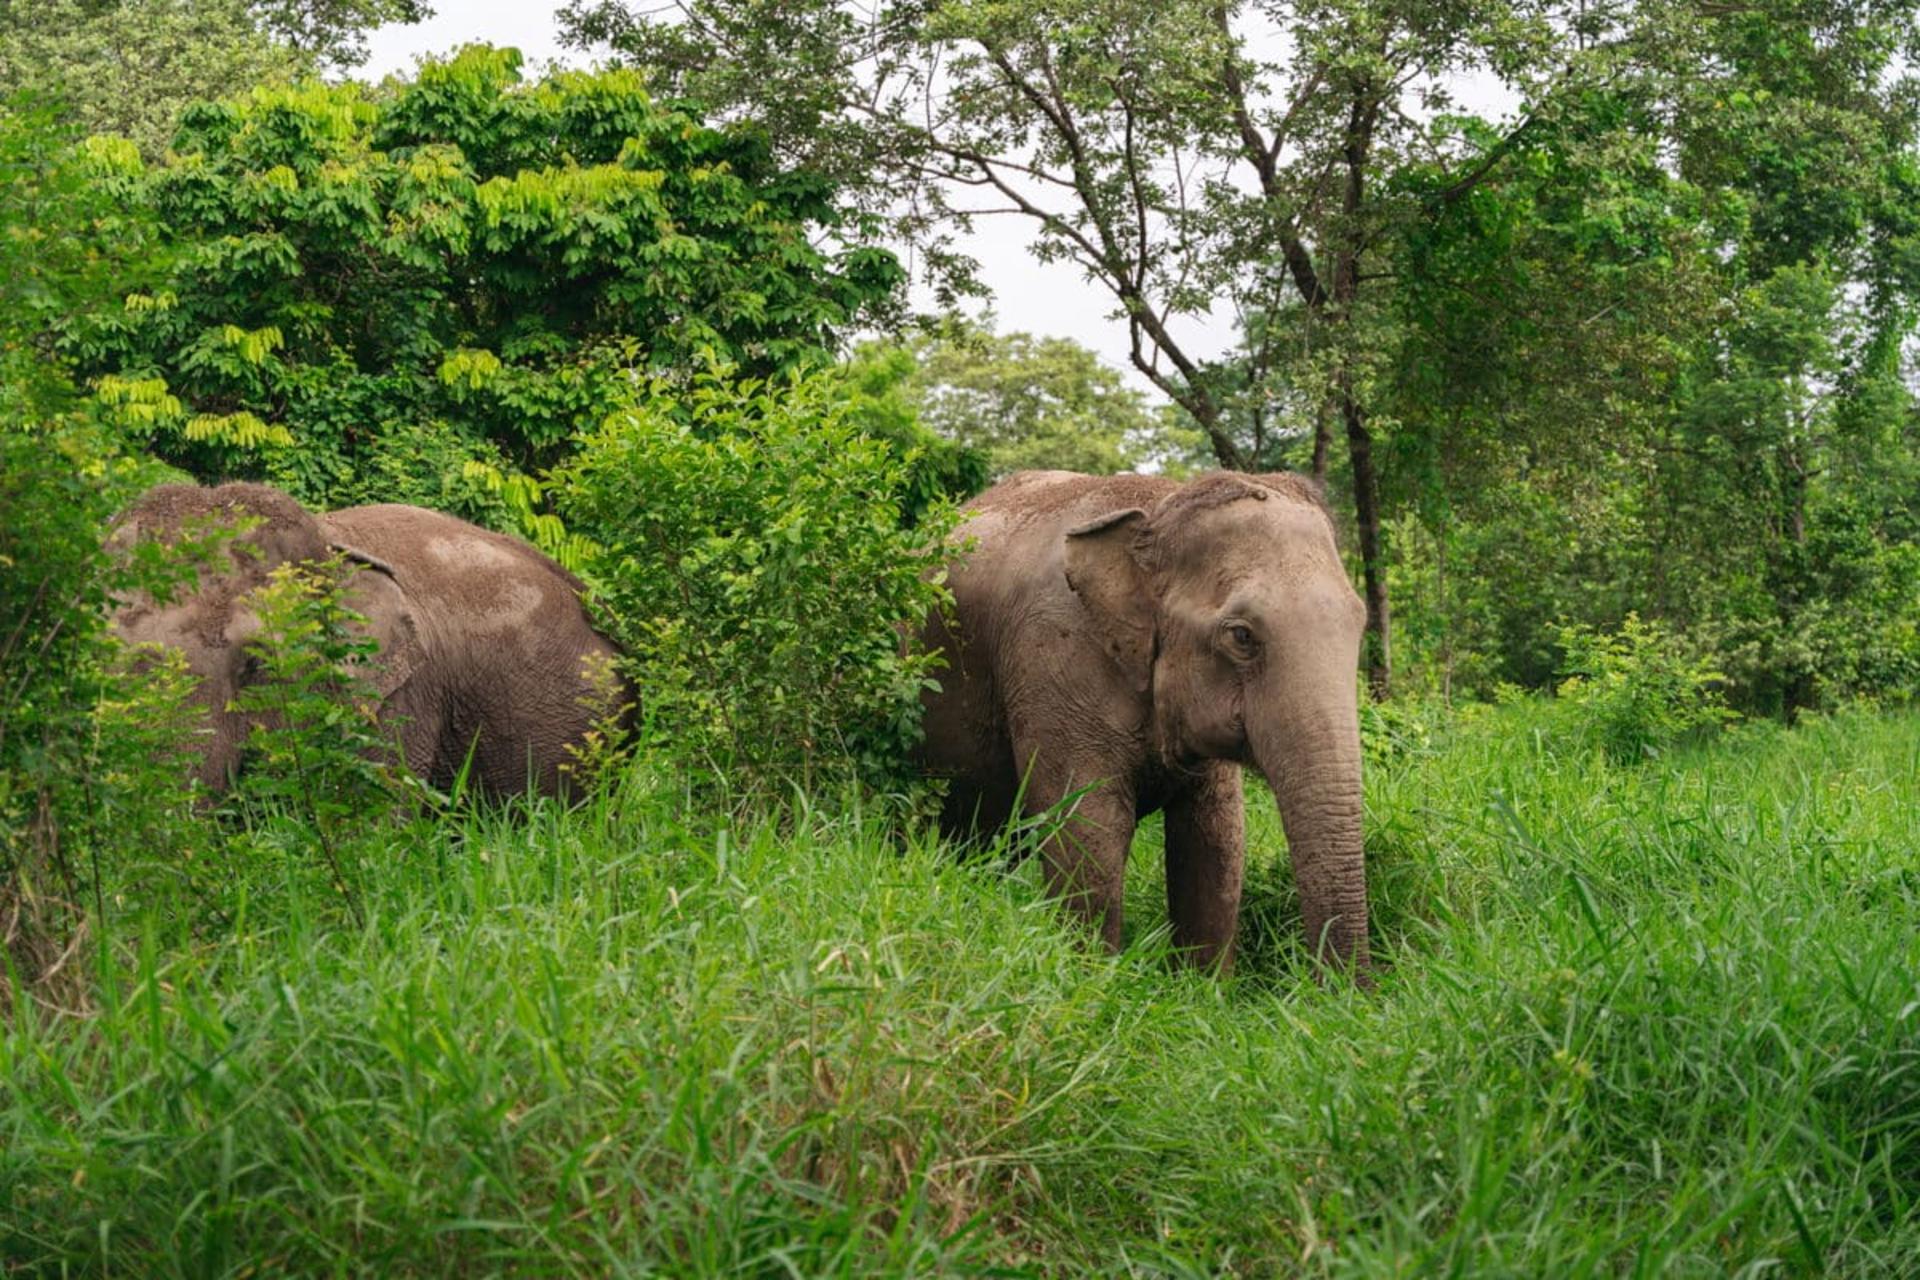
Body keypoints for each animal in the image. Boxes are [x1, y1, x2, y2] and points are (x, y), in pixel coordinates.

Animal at [917, 469, 1370, 975]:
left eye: (1361, 623)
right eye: (1241, 636)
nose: (1337, 988)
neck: (1159, 508)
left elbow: (1215, 838)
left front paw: (1203, 986)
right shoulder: (1052, 662)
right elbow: (1089, 828)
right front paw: (1091, 979)